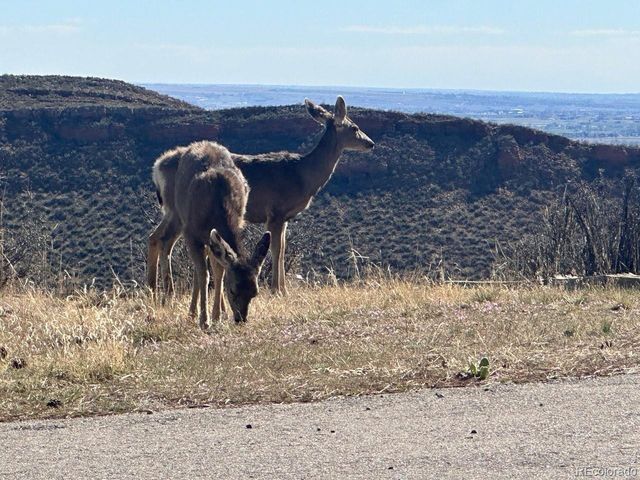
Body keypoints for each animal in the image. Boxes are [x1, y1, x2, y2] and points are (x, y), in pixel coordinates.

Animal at [148, 96, 374, 297]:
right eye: (355, 127)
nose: (370, 143)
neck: (303, 174)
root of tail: (157, 166)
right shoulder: (275, 212)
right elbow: (276, 250)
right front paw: (277, 290)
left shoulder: (284, 217)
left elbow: (282, 249)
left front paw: (283, 289)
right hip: (179, 209)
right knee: (166, 240)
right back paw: (168, 291)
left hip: (171, 210)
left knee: (155, 237)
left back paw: (153, 290)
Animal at [171, 140, 270, 330]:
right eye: (233, 290)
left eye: (255, 293)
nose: (240, 319)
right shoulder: (191, 233)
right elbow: (204, 274)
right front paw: (205, 320)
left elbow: (219, 272)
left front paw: (216, 315)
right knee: (200, 270)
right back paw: (192, 313)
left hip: (210, 240)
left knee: (216, 264)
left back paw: (220, 312)